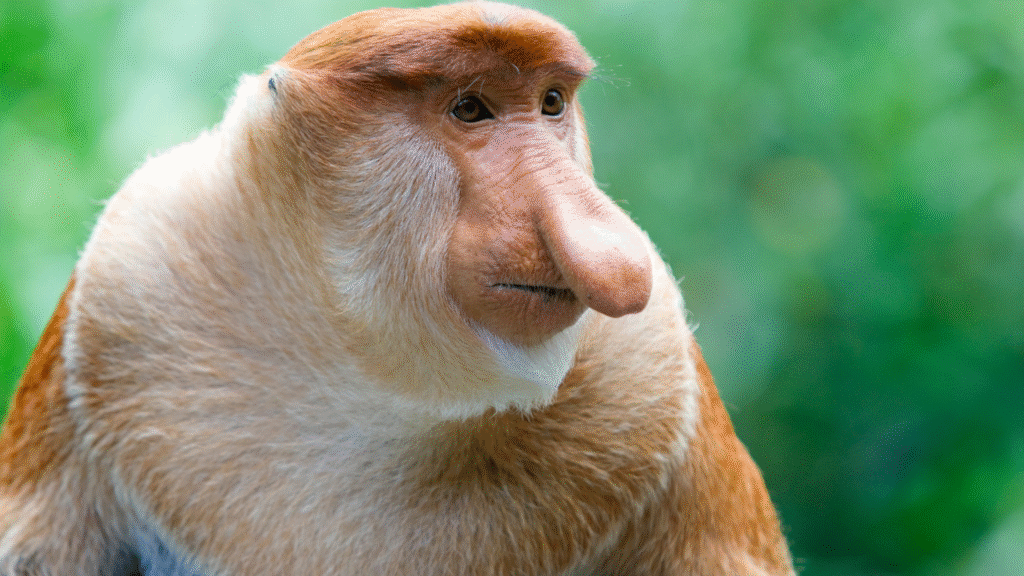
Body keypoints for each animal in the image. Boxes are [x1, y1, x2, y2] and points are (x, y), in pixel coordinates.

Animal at [0, 2, 796, 575]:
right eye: (470, 108)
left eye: (551, 103)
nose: (613, 250)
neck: (373, 381)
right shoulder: (128, 279)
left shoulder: (654, 371)